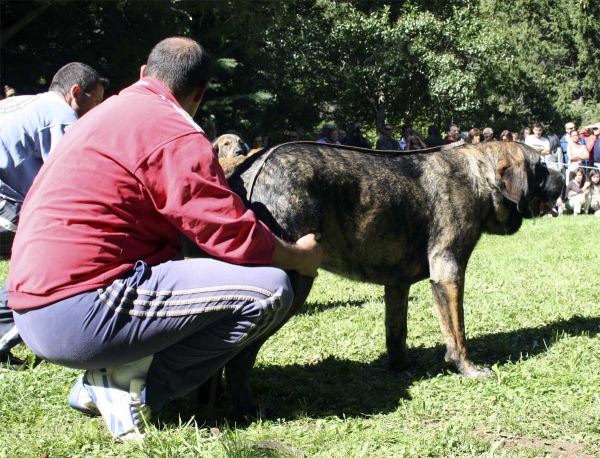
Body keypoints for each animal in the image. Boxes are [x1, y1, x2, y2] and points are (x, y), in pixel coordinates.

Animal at [220, 140, 564, 416]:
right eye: (541, 167)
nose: (562, 177)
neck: (478, 175)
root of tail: (252, 169)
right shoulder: (448, 274)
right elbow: (458, 335)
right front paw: (468, 369)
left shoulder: (397, 285)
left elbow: (396, 331)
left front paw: (401, 364)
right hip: (296, 279)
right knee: (240, 359)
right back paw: (246, 409)